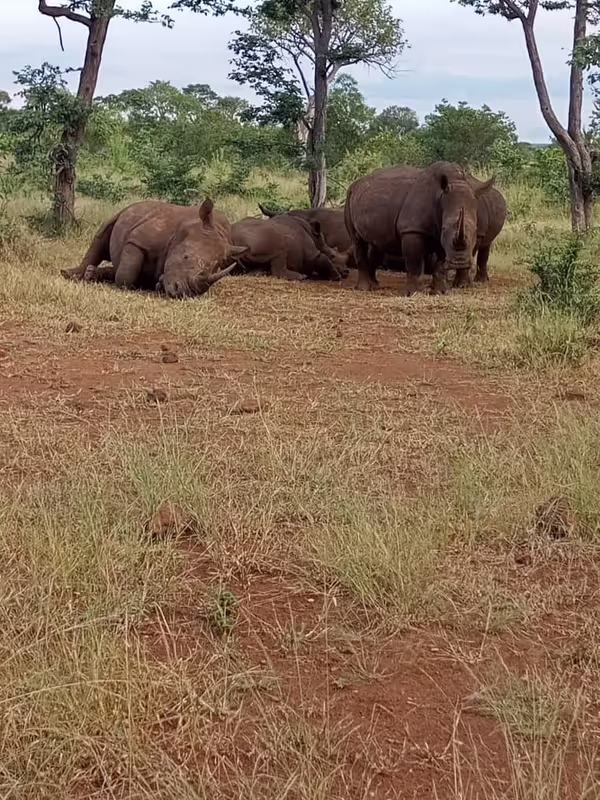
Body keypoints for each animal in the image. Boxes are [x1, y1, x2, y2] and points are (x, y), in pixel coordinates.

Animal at [61, 198, 247, 298]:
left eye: (216, 268)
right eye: (186, 257)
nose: (183, 292)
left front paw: (159, 284)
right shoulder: (137, 241)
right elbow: (126, 275)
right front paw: (123, 284)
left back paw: (90, 274)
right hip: (124, 212)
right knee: (101, 235)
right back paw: (70, 274)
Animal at [345, 162, 496, 295]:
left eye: (475, 231)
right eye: (445, 229)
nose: (459, 262)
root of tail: (356, 183)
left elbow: (440, 264)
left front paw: (440, 292)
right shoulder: (412, 230)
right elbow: (414, 263)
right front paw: (411, 293)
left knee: (377, 243)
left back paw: (374, 285)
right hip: (349, 196)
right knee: (358, 242)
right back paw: (364, 288)